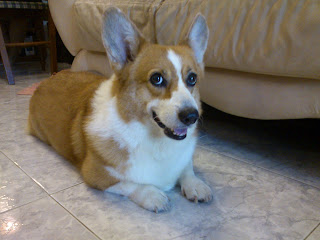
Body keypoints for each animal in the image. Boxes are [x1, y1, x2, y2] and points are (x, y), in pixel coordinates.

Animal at [28, 7, 212, 212]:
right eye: (156, 78)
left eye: (192, 78)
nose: (191, 116)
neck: (154, 140)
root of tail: (48, 78)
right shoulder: (96, 174)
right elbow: (131, 184)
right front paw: (153, 195)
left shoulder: (183, 158)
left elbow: (187, 168)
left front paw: (196, 184)